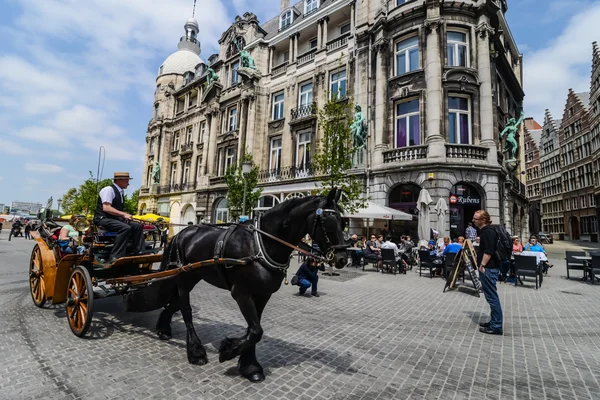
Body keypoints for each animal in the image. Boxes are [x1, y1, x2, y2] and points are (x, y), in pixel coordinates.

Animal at [131, 188, 346, 382]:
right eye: (328, 221)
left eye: (344, 222)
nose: (342, 259)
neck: (260, 244)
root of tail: (181, 232)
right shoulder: (241, 293)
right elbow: (256, 331)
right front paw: (229, 350)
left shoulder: (262, 294)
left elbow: (254, 329)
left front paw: (249, 366)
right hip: (184, 277)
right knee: (186, 310)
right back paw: (195, 351)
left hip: (195, 276)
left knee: (174, 301)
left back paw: (163, 328)